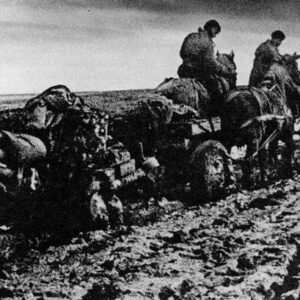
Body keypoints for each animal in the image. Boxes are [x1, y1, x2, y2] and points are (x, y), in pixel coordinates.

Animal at [220, 53, 300, 183]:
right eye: (295, 65)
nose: (298, 81)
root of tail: (234, 101)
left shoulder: (267, 137)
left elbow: (263, 156)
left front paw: (265, 176)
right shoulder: (286, 132)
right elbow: (289, 151)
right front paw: (289, 171)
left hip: (227, 139)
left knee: (226, 159)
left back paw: (230, 180)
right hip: (252, 139)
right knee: (247, 160)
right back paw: (247, 182)